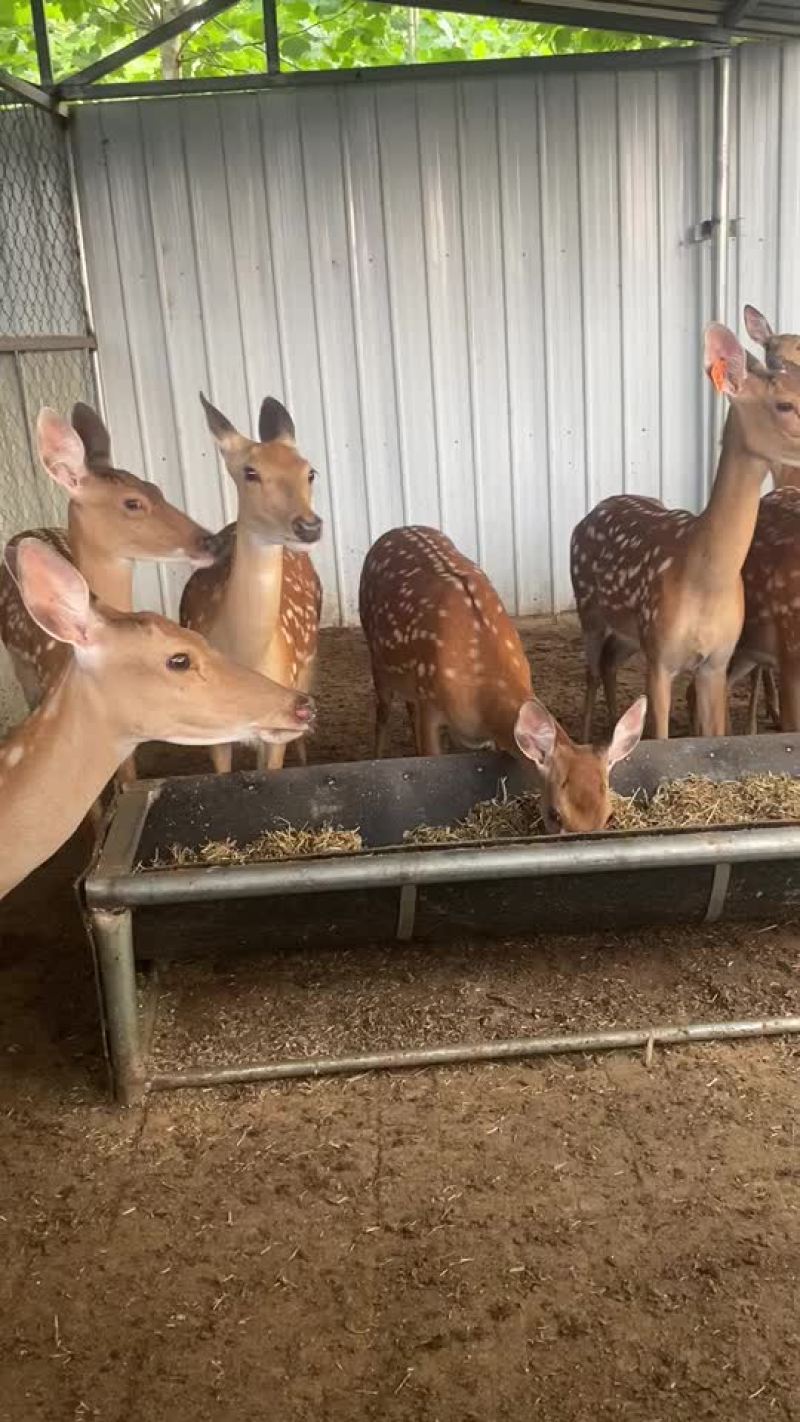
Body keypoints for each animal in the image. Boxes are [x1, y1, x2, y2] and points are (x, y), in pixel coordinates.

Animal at [359, 525, 646, 834]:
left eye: (609, 816)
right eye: (555, 814)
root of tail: (393, 532)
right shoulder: (430, 704)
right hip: (376, 657)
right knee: (383, 711)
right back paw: (377, 757)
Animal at [571, 323, 800, 742]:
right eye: (784, 405)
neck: (705, 580)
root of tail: (590, 514)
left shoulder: (716, 661)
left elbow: (713, 736)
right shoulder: (660, 656)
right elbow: (661, 737)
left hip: (629, 633)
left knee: (609, 664)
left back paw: (614, 725)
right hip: (590, 610)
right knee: (592, 670)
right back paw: (585, 736)